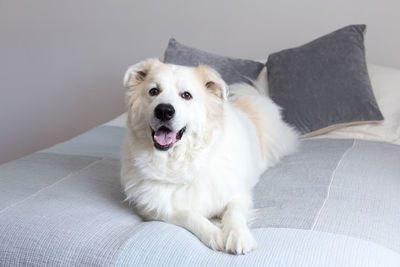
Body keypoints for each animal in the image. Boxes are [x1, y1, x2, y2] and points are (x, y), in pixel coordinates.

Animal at [120, 58, 298, 255]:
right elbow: (189, 215)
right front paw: (215, 234)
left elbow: (233, 213)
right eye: (153, 91)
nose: (164, 111)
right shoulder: (154, 209)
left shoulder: (238, 194)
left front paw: (238, 235)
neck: (180, 163)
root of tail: (253, 99)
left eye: (186, 95)